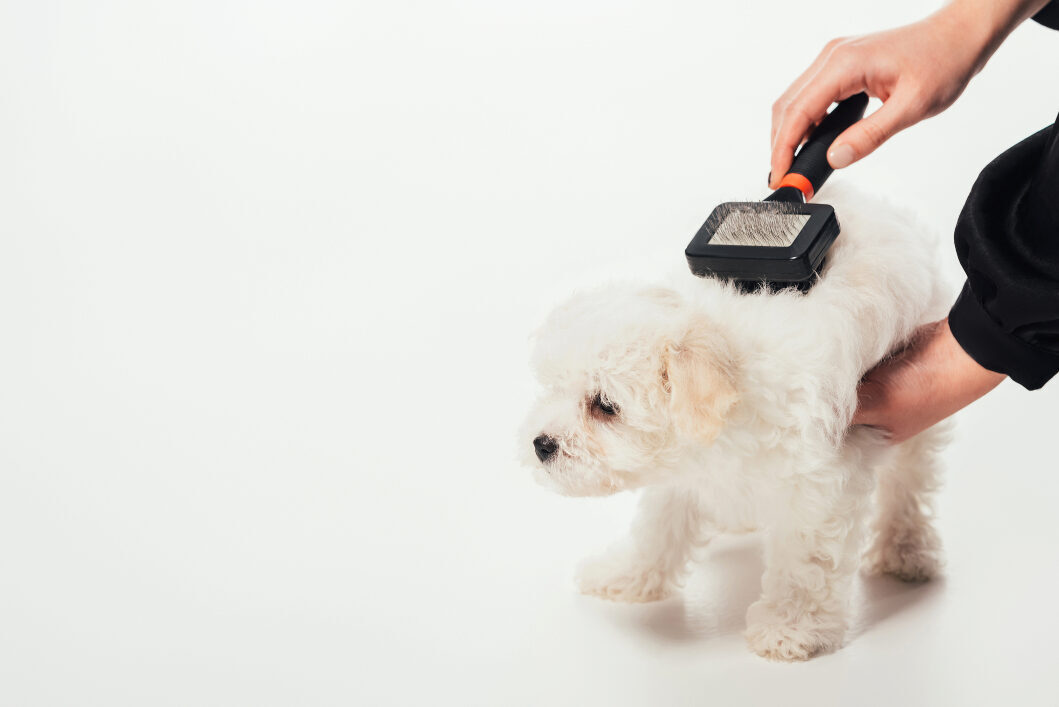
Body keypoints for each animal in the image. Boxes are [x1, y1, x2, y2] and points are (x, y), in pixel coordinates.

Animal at [521, 185, 953, 660]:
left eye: (604, 406)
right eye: (553, 388)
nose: (542, 444)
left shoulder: (820, 481)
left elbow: (805, 560)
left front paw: (791, 627)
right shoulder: (682, 476)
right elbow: (658, 527)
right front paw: (626, 575)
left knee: (907, 484)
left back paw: (905, 550)